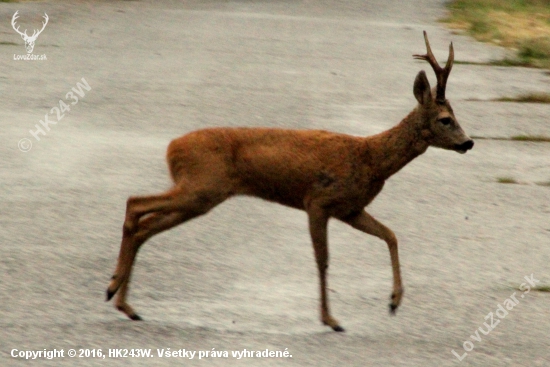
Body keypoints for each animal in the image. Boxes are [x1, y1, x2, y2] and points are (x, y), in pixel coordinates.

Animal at [106, 30, 474, 332]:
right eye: (445, 119)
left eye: (456, 117)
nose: (469, 142)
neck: (370, 158)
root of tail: (172, 147)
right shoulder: (318, 201)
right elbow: (323, 260)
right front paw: (331, 319)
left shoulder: (350, 209)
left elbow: (391, 235)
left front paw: (394, 302)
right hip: (200, 186)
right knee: (135, 204)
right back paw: (112, 288)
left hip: (201, 195)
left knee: (145, 226)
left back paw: (126, 304)